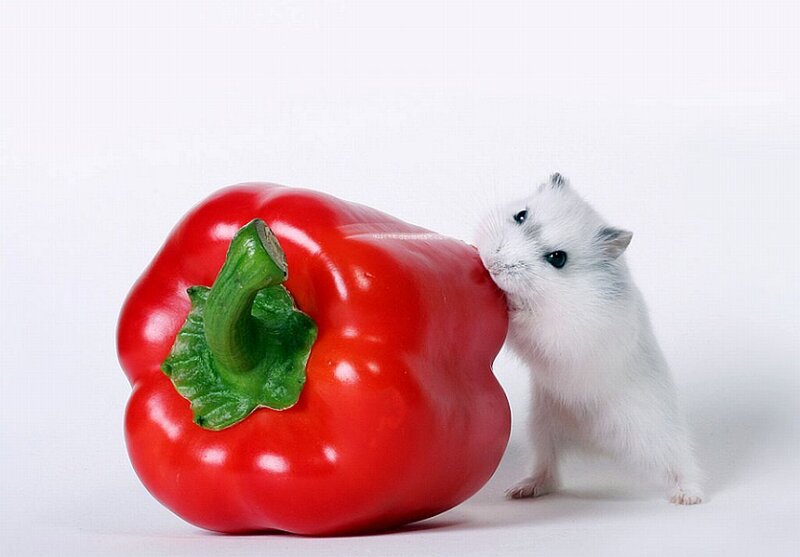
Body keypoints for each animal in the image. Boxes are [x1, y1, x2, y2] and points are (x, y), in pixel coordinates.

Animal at [476, 173, 703, 505]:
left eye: (558, 258)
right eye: (521, 215)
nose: (492, 263)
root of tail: (601, 447)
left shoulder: (565, 331)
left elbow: (530, 322)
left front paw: (509, 303)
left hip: (658, 436)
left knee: (681, 464)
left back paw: (687, 496)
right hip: (542, 428)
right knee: (549, 471)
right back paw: (520, 490)